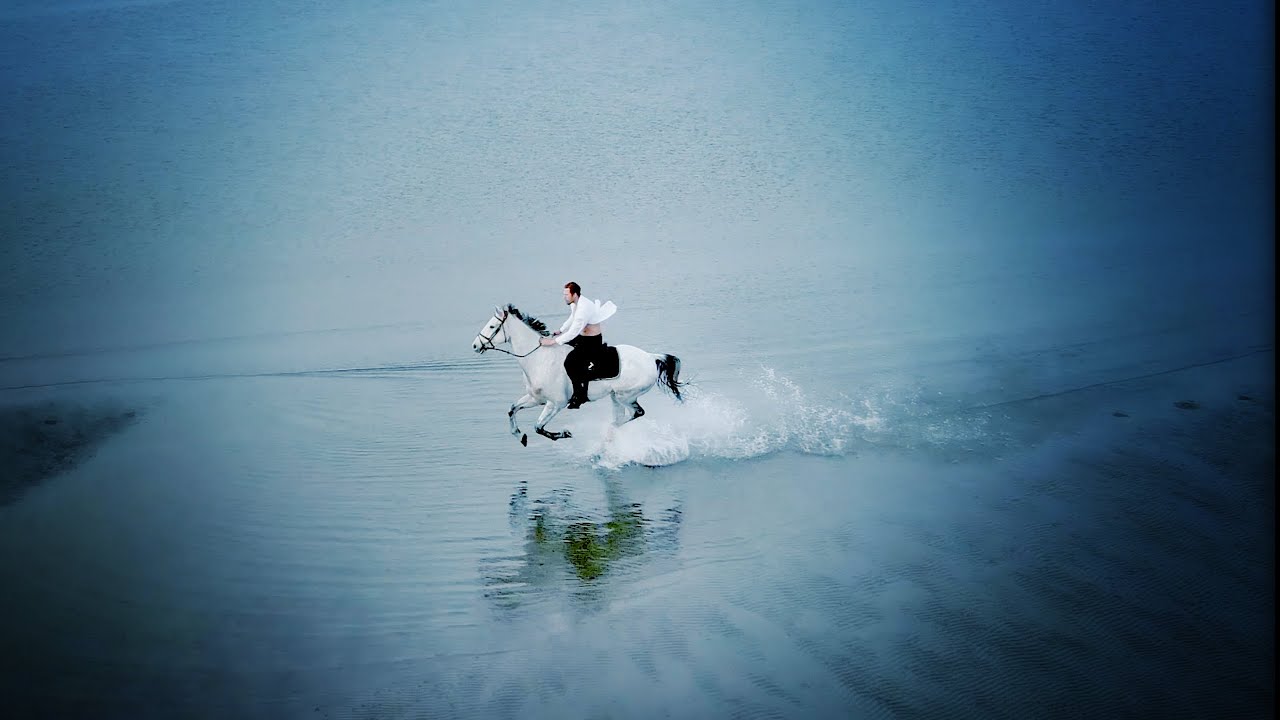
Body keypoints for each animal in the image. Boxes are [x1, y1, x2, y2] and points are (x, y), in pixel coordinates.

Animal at [472, 304, 685, 446]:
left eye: (492, 327)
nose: (475, 345)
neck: (539, 358)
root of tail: (651, 357)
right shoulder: (536, 399)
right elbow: (512, 410)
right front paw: (520, 436)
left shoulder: (555, 404)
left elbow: (538, 427)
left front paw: (564, 434)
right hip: (616, 397)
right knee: (623, 416)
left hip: (626, 396)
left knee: (636, 413)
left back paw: (607, 434)